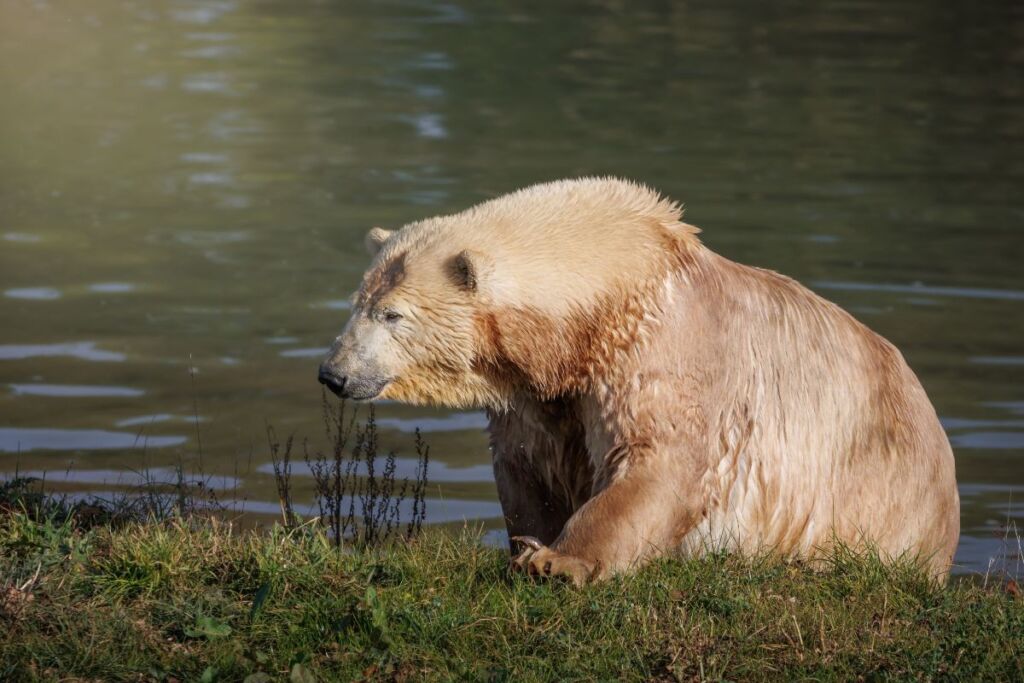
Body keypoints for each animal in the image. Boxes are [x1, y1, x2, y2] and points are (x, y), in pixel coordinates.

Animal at [318, 177, 960, 584]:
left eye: (392, 314)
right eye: (358, 302)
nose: (334, 372)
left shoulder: (661, 347)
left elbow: (657, 460)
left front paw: (556, 562)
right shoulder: (541, 392)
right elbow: (529, 464)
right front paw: (527, 547)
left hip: (879, 488)